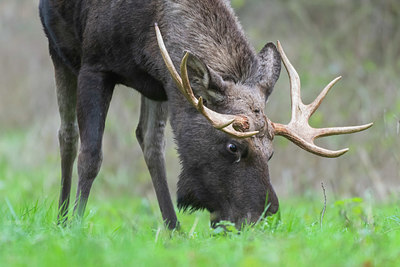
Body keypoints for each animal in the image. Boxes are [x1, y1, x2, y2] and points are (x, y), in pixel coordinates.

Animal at [39, 0, 372, 230]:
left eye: (271, 152)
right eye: (233, 146)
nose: (260, 216)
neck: (146, 34)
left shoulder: (162, 82)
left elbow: (153, 145)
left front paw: (174, 231)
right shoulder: (94, 64)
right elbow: (91, 155)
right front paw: (76, 225)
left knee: (148, 143)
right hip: (59, 52)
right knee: (67, 135)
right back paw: (61, 217)